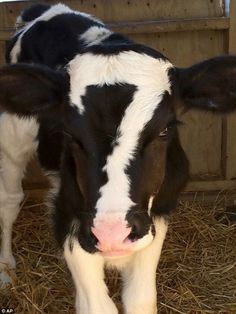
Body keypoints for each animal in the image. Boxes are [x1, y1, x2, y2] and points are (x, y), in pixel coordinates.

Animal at [0, 3, 236, 314]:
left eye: (164, 130)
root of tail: (45, 10)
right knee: (9, 200)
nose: (111, 233)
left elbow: (141, 298)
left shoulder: (157, 214)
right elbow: (98, 306)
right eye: (70, 134)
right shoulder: (70, 216)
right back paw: (6, 270)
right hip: (12, 137)